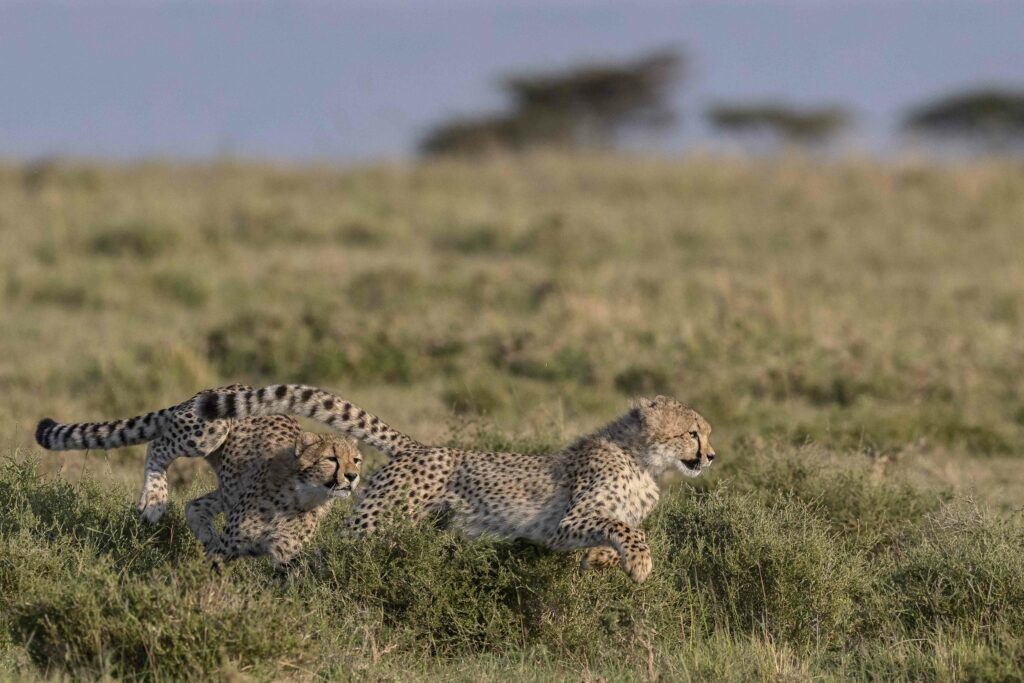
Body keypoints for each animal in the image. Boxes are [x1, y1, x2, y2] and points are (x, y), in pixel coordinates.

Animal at [36, 387, 362, 569]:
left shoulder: (282, 556)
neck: (303, 496)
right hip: (209, 431)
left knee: (195, 504)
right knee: (158, 446)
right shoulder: (230, 547)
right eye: (331, 458)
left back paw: (204, 532)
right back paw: (154, 499)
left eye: (355, 459)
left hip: (228, 486)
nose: (353, 476)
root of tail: (232, 385)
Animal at [195, 385, 716, 581]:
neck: (644, 461)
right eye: (693, 432)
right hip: (375, 522)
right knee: (335, 550)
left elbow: (618, 534)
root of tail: (418, 446)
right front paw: (640, 564)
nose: (711, 455)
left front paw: (603, 561)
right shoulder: (570, 520)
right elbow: (628, 529)